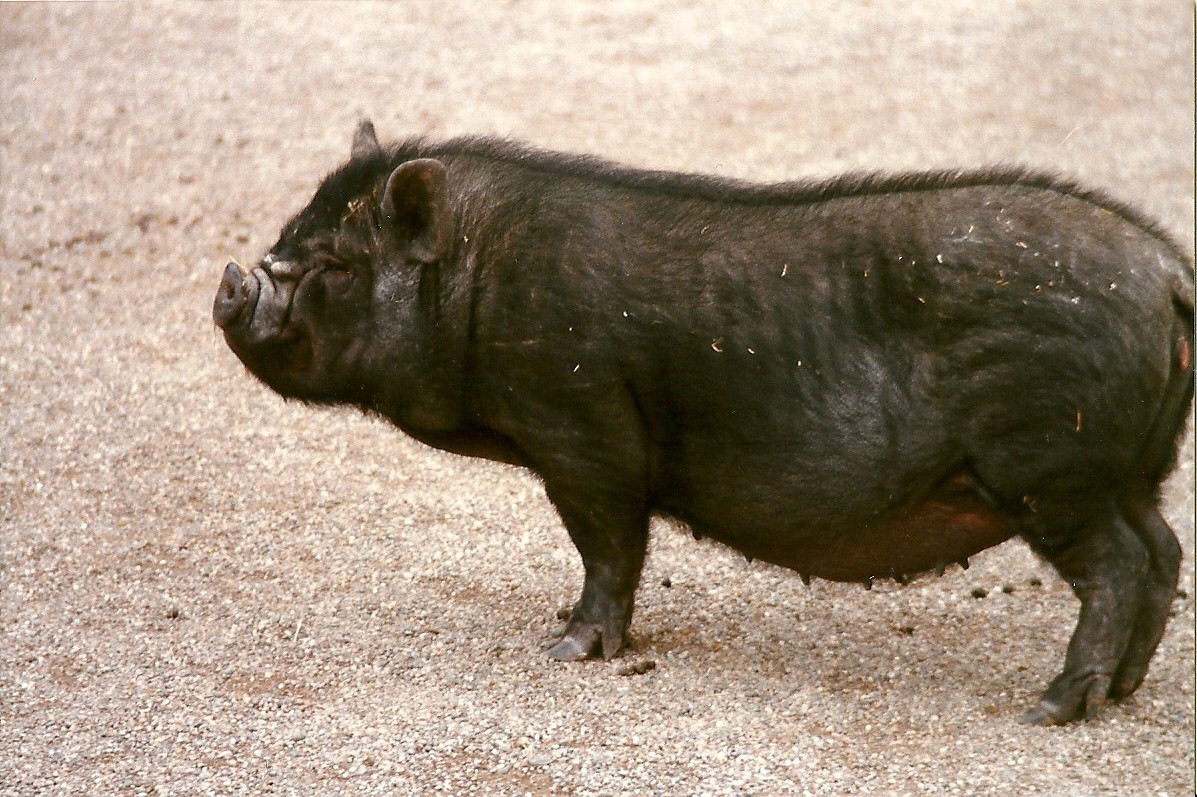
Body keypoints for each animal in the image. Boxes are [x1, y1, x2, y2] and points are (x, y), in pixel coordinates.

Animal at [214, 121, 1194, 725]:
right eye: (288, 233)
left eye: (334, 264)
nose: (233, 280)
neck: (481, 274)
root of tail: (1167, 272)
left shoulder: (581, 428)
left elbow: (610, 545)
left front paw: (565, 648)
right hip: (1126, 470)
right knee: (1162, 549)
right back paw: (1121, 693)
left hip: (1051, 465)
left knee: (1117, 565)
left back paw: (1050, 706)